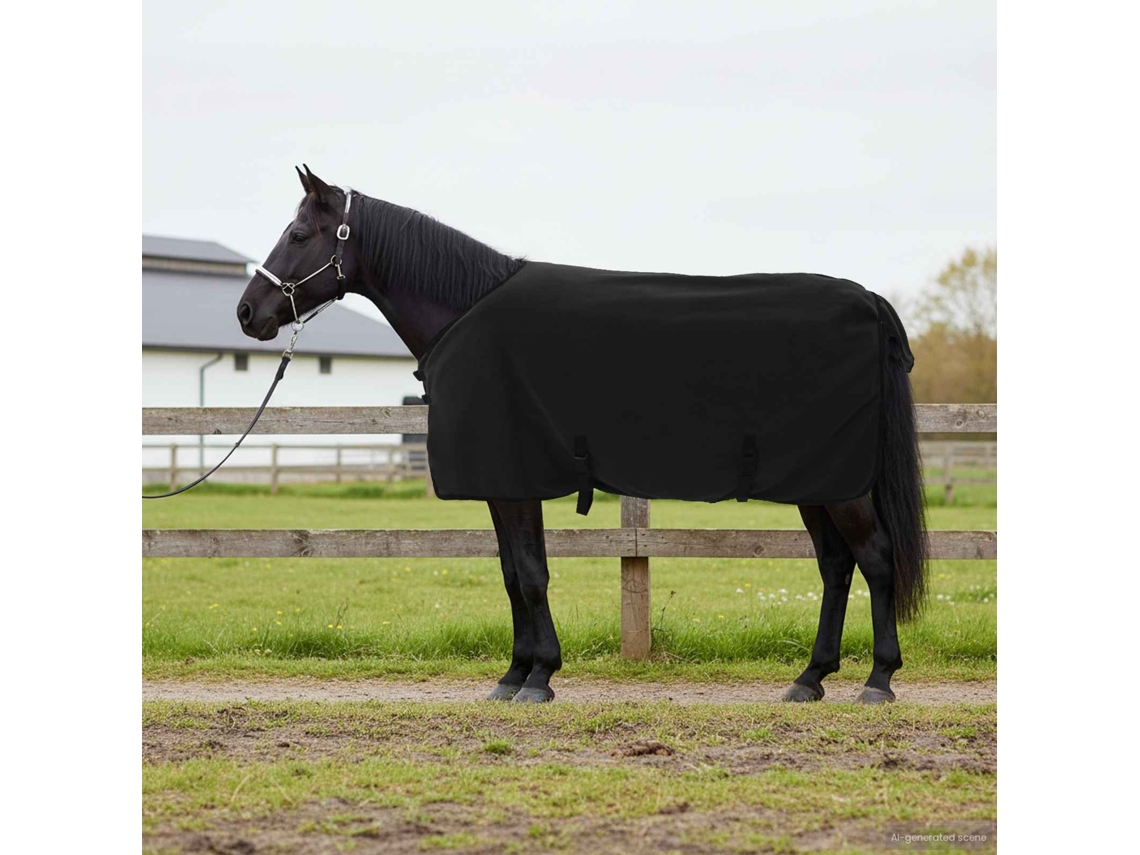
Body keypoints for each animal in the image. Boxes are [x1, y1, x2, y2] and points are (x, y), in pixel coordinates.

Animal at [237, 165, 928, 705]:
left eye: (298, 234)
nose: (248, 313)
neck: (466, 311)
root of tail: (869, 301)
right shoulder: (503, 484)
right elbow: (513, 573)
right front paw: (515, 674)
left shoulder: (515, 481)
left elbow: (531, 574)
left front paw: (539, 677)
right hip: (817, 482)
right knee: (836, 565)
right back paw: (810, 679)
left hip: (841, 487)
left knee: (876, 558)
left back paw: (878, 680)